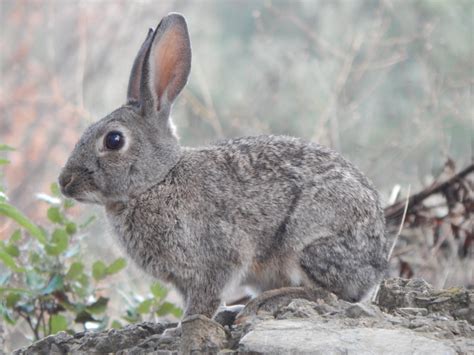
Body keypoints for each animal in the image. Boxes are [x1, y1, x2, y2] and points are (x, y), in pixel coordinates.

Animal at [59, 12, 388, 322]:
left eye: (113, 140)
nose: (64, 181)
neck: (157, 180)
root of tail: (377, 265)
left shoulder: (216, 256)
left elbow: (206, 298)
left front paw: (185, 324)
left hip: (307, 241)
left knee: (331, 294)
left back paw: (267, 301)